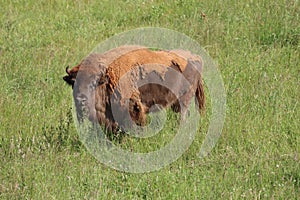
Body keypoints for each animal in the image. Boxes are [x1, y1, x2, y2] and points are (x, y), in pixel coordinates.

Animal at [62, 45, 204, 133]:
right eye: (73, 83)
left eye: (93, 83)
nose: (81, 99)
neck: (107, 77)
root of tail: (196, 57)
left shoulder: (133, 108)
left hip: (184, 99)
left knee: (183, 116)